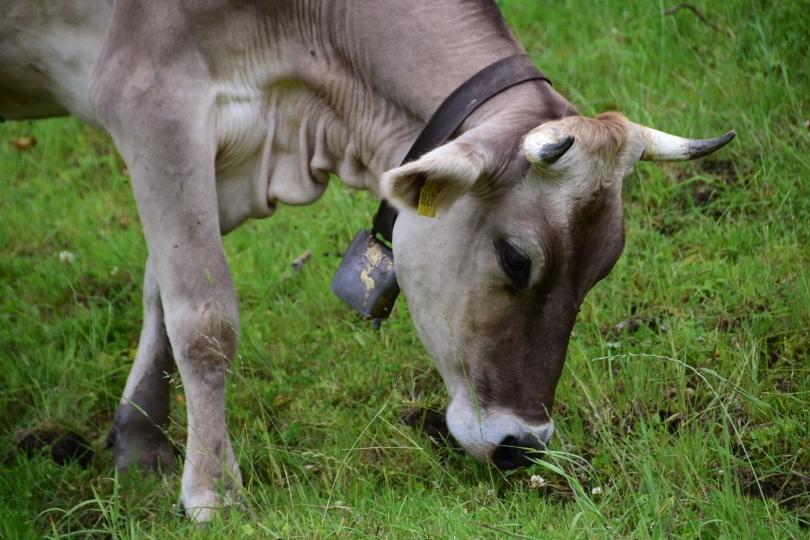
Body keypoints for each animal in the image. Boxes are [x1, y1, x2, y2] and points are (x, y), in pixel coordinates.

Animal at [0, 0, 732, 524]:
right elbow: (204, 318)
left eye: (602, 269)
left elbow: (162, 290)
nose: (524, 444)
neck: (303, 112)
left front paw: (140, 444)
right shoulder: (151, 99)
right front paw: (214, 493)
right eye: (516, 259)